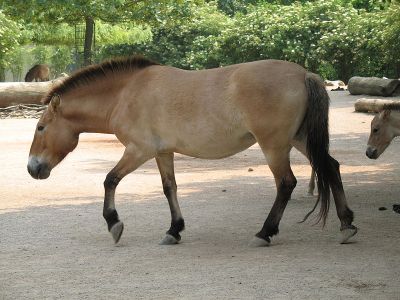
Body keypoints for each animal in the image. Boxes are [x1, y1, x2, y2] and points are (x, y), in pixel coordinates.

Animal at [28, 56, 360, 246]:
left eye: (41, 127)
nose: (33, 168)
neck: (126, 93)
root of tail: (305, 75)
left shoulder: (139, 150)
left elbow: (110, 180)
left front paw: (114, 224)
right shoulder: (162, 152)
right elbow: (169, 188)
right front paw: (174, 230)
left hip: (275, 146)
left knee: (286, 184)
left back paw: (265, 232)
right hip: (300, 140)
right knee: (331, 167)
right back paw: (346, 225)